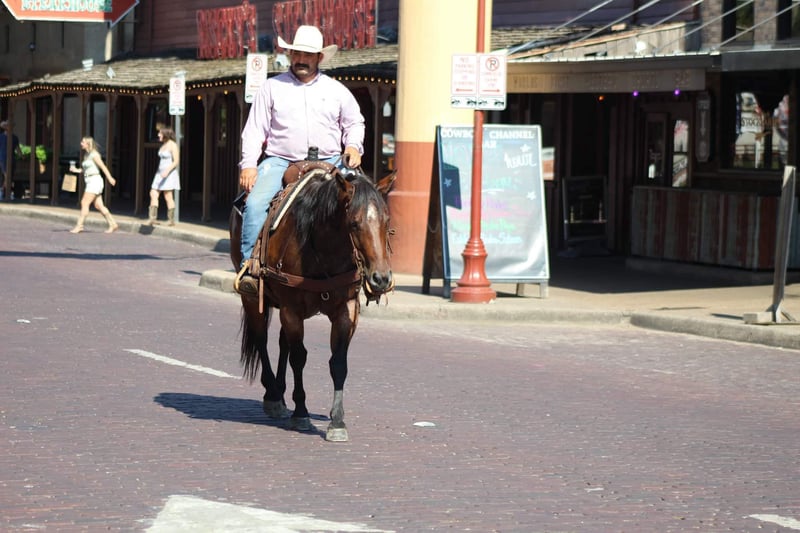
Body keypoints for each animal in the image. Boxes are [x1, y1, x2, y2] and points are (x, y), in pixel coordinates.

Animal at [229, 162, 396, 441]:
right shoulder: (292, 310)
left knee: (282, 342)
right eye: (354, 223)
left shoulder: (346, 310)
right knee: (262, 340)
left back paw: (281, 394)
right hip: (253, 299)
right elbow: (299, 358)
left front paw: (337, 421)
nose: (381, 278)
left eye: (386, 221)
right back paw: (273, 396)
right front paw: (301, 413)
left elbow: (338, 362)